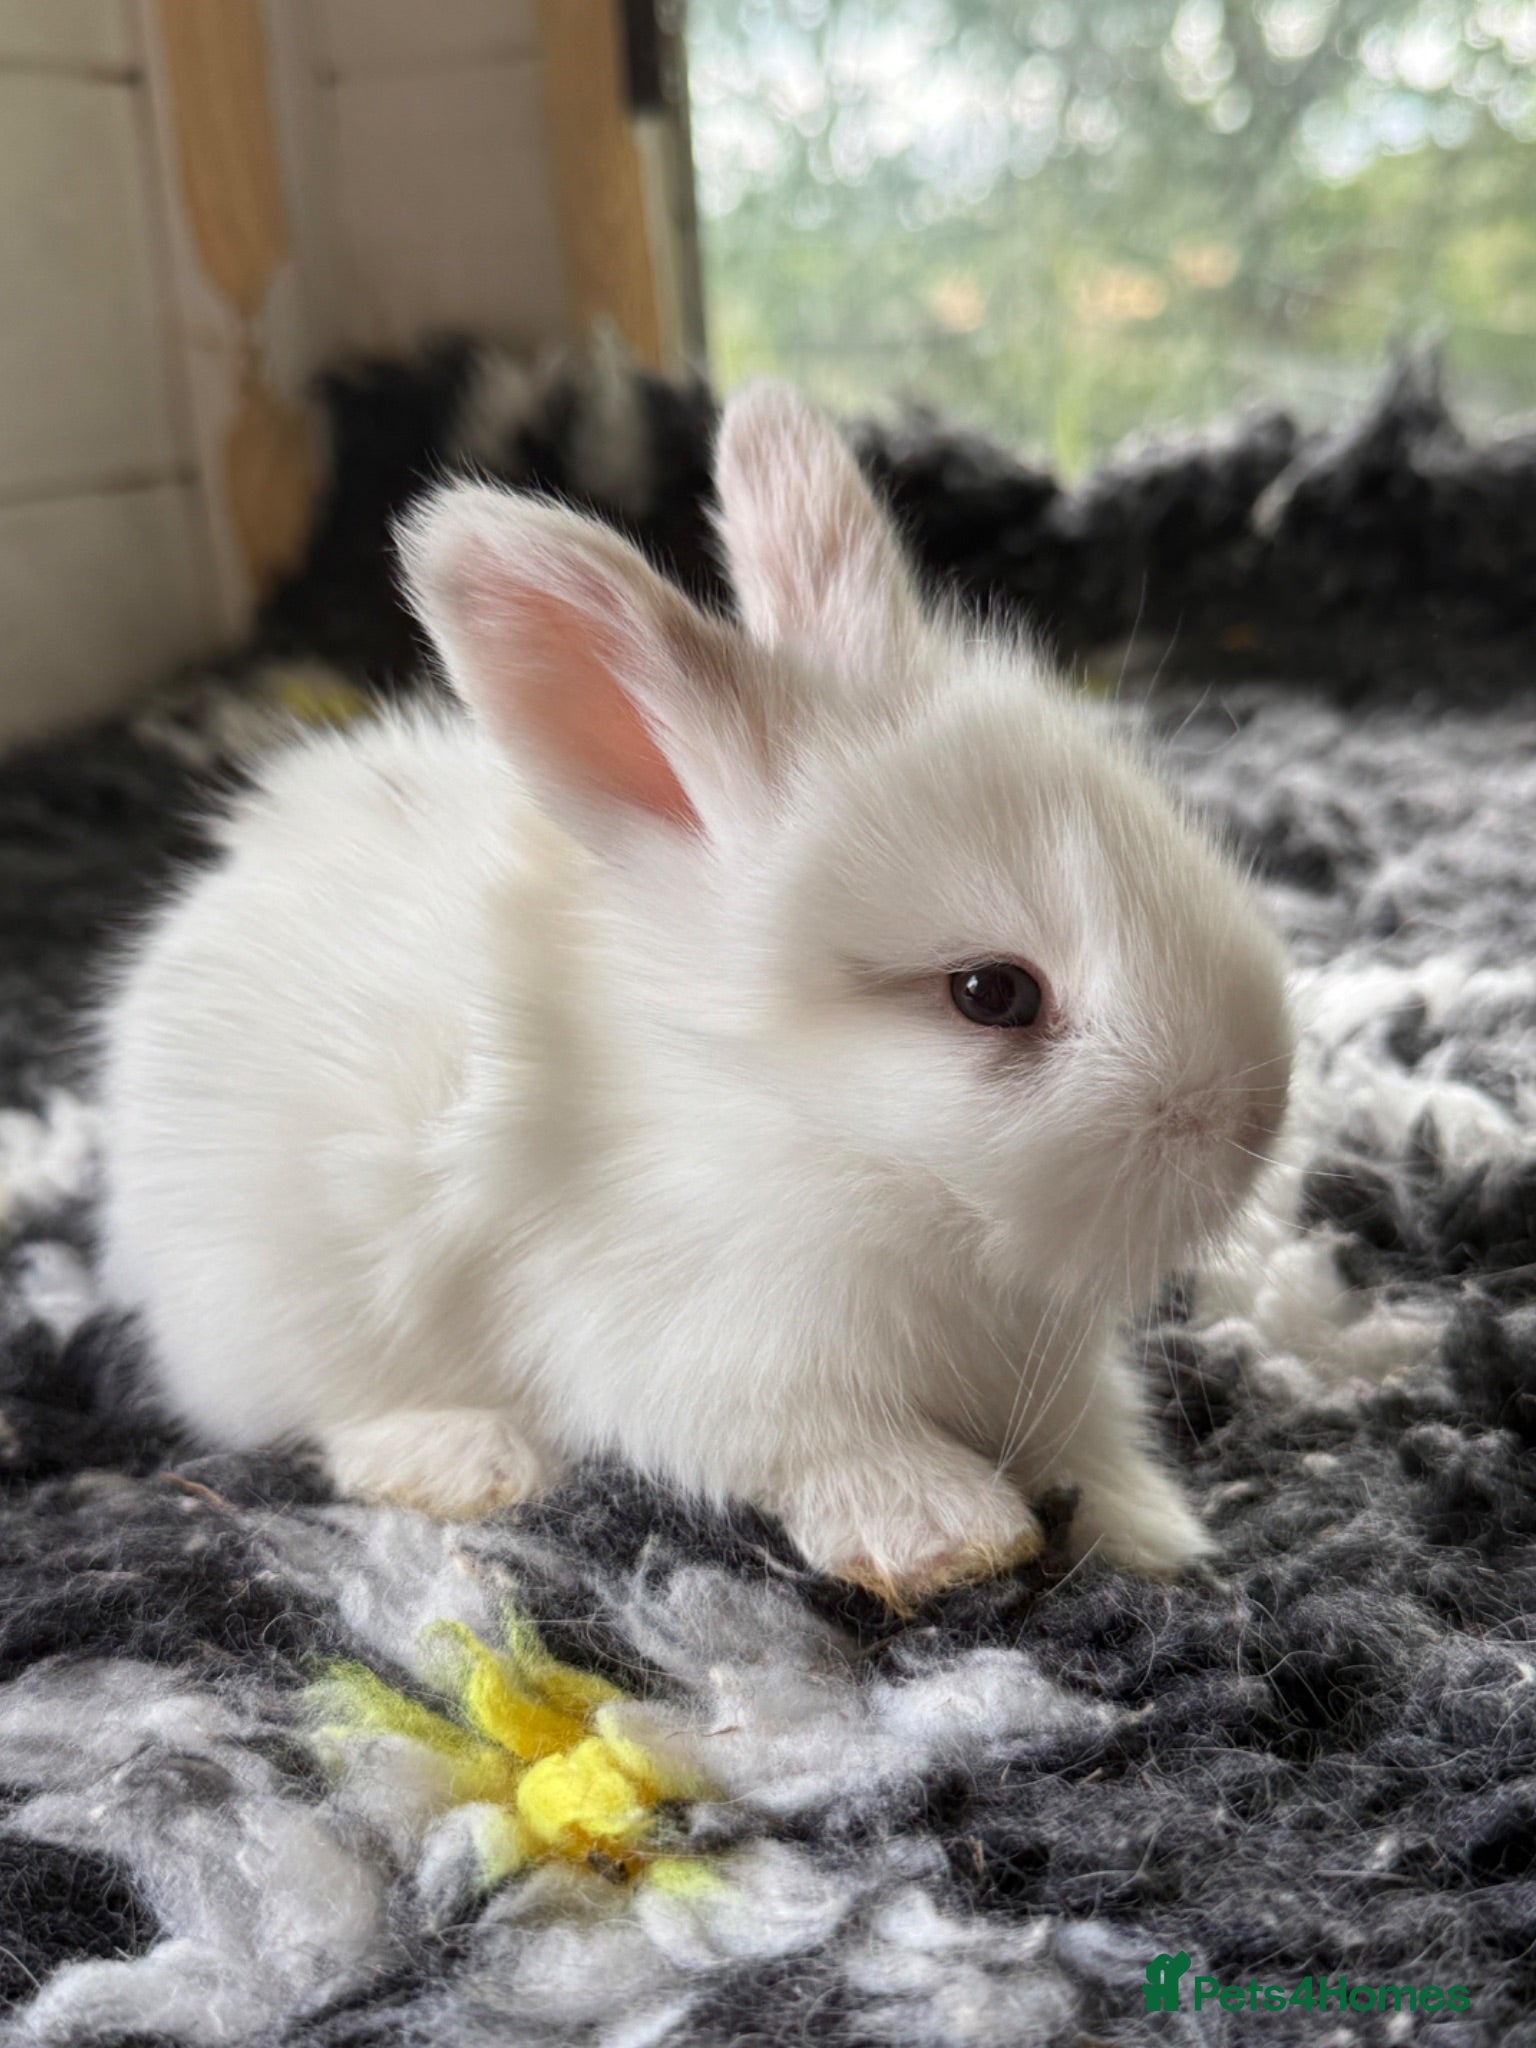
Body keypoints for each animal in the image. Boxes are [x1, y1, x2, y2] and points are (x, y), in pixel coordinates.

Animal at [97, 382, 1292, 1607]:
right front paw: (942, 1535)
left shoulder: (1048, 1369)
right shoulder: (714, 1354)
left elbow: (1091, 1439)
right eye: (992, 993)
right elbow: (836, 1447)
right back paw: (469, 1460)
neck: (823, 1140)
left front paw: (1155, 1535)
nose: (1258, 1114)